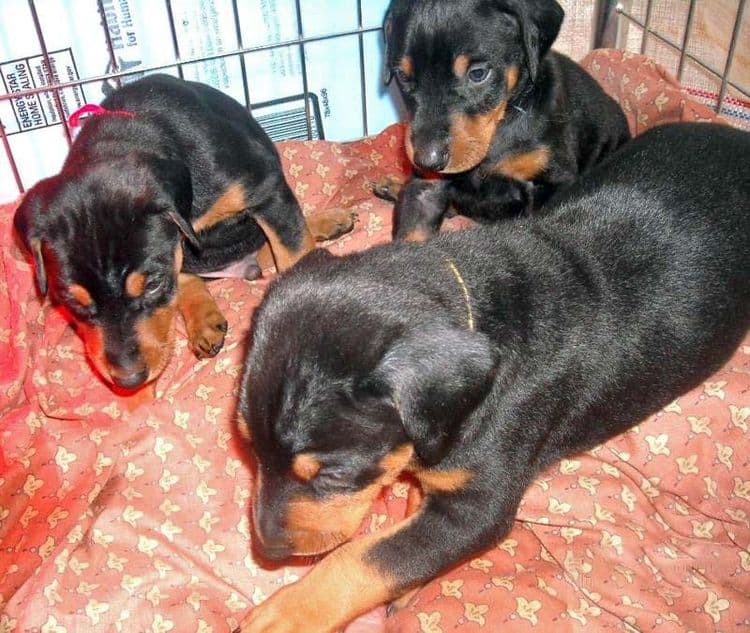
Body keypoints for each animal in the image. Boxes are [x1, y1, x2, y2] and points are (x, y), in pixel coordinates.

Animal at [11, 73, 352, 390]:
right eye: (72, 301)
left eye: (152, 285)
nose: (129, 381)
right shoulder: (179, 249)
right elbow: (184, 278)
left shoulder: (265, 189)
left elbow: (293, 250)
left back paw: (328, 222)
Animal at [238, 123, 748, 632]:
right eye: (247, 449)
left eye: (334, 473)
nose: (269, 550)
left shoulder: (477, 507)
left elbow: (374, 556)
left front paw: (287, 614)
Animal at [378, 0, 632, 239]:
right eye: (402, 76)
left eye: (478, 73)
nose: (427, 161)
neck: (502, 121)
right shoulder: (426, 186)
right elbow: (411, 233)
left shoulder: (552, 181)